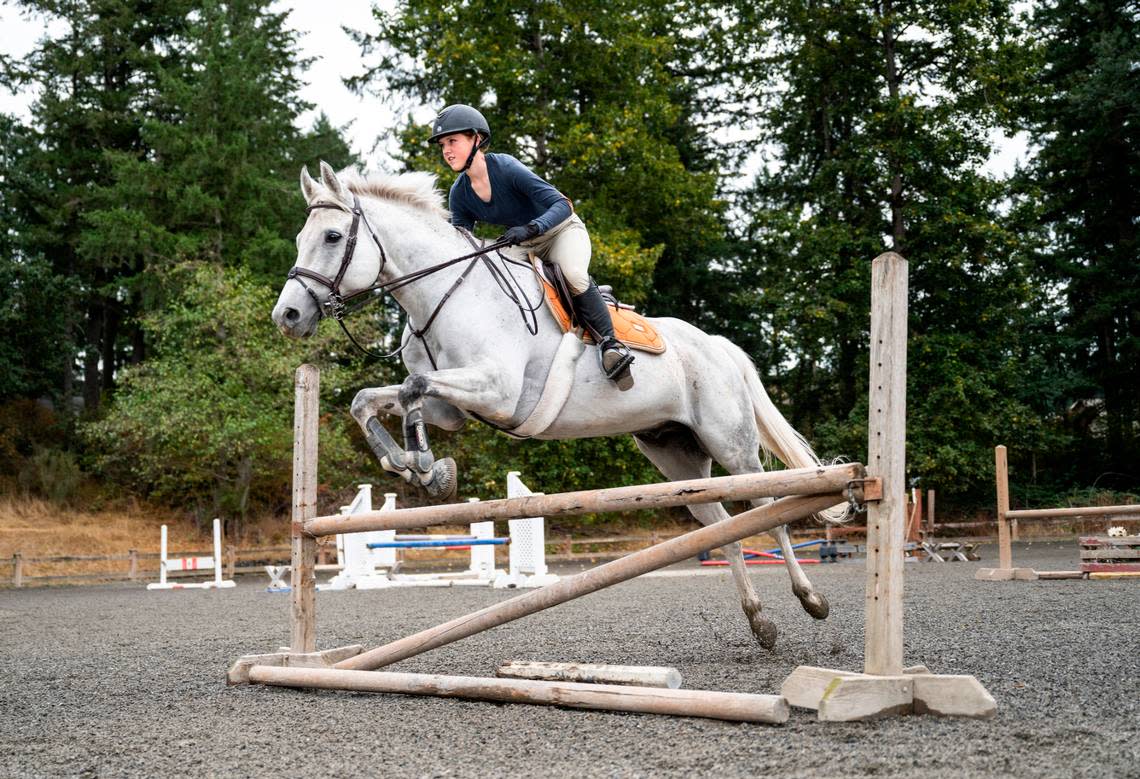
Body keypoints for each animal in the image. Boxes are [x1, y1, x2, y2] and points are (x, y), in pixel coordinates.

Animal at [273, 164, 848, 652]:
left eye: (331, 237)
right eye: (301, 238)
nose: (288, 316)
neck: (445, 295)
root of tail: (718, 346)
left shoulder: (496, 390)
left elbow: (413, 387)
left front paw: (427, 467)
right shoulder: (452, 407)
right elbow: (370, 400)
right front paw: (416, 468)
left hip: (731, 445)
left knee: (768, 511)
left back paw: (812, 601)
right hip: (677, 455)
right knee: (722, 527)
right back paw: (760, 622)